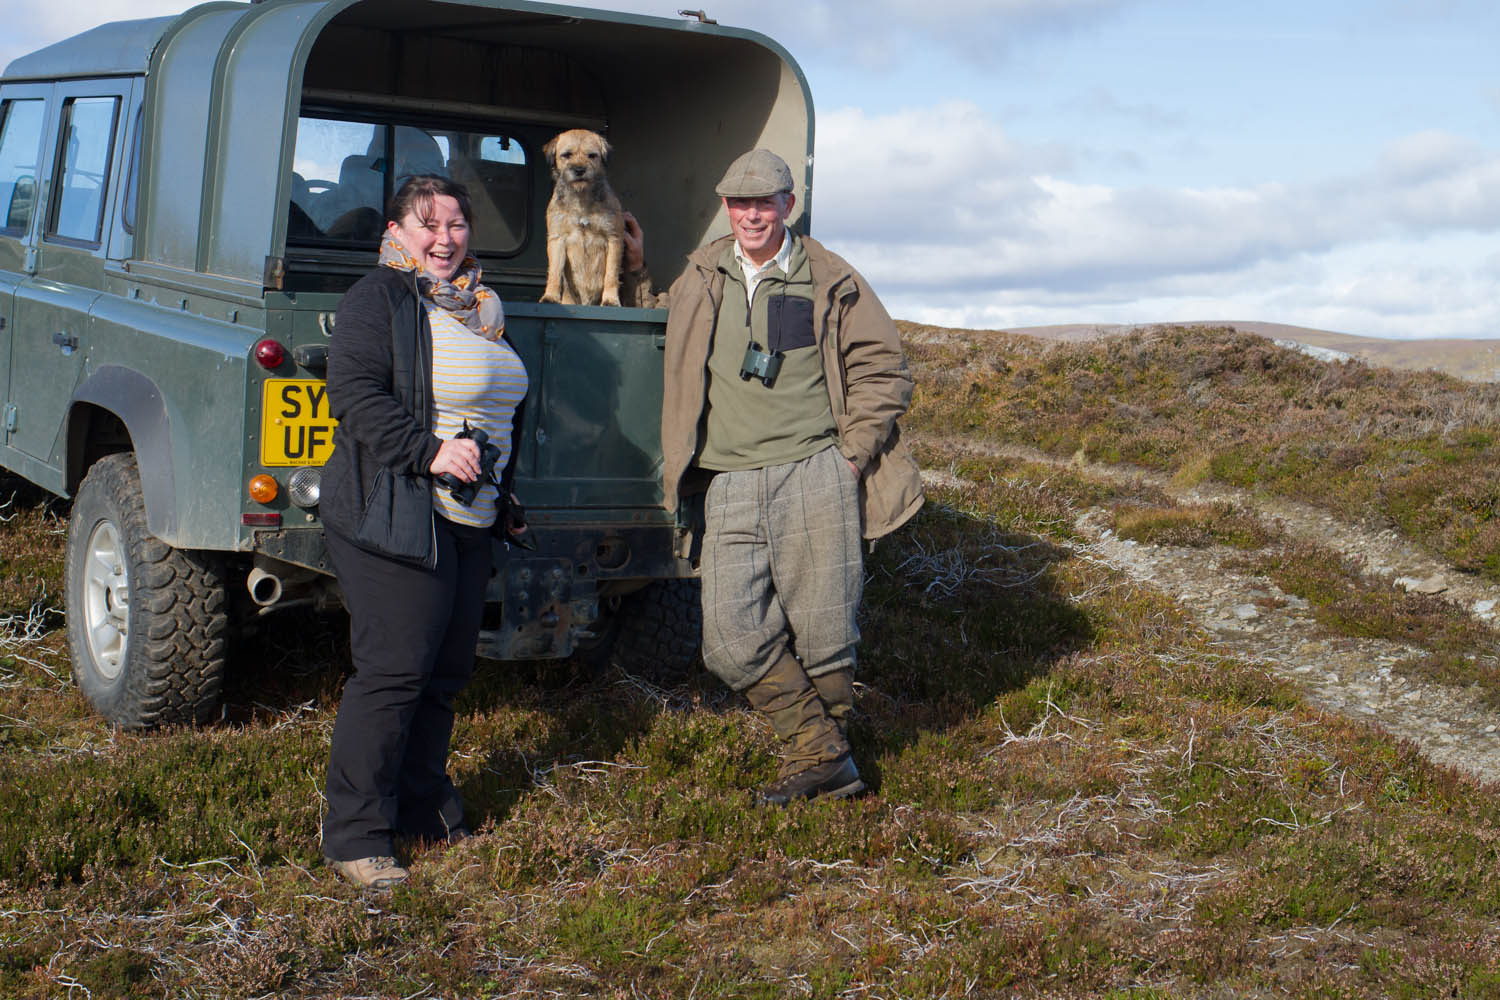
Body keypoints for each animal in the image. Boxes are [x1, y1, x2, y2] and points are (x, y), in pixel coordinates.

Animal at [543, 130, 624, 308]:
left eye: (592, 155)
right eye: (566, 155)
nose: (579, 169)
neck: (581, 197)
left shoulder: (613, 238)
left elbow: (611, 274)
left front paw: (611, 299)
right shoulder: (557, 239)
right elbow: (554, 271)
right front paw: (550, 296)